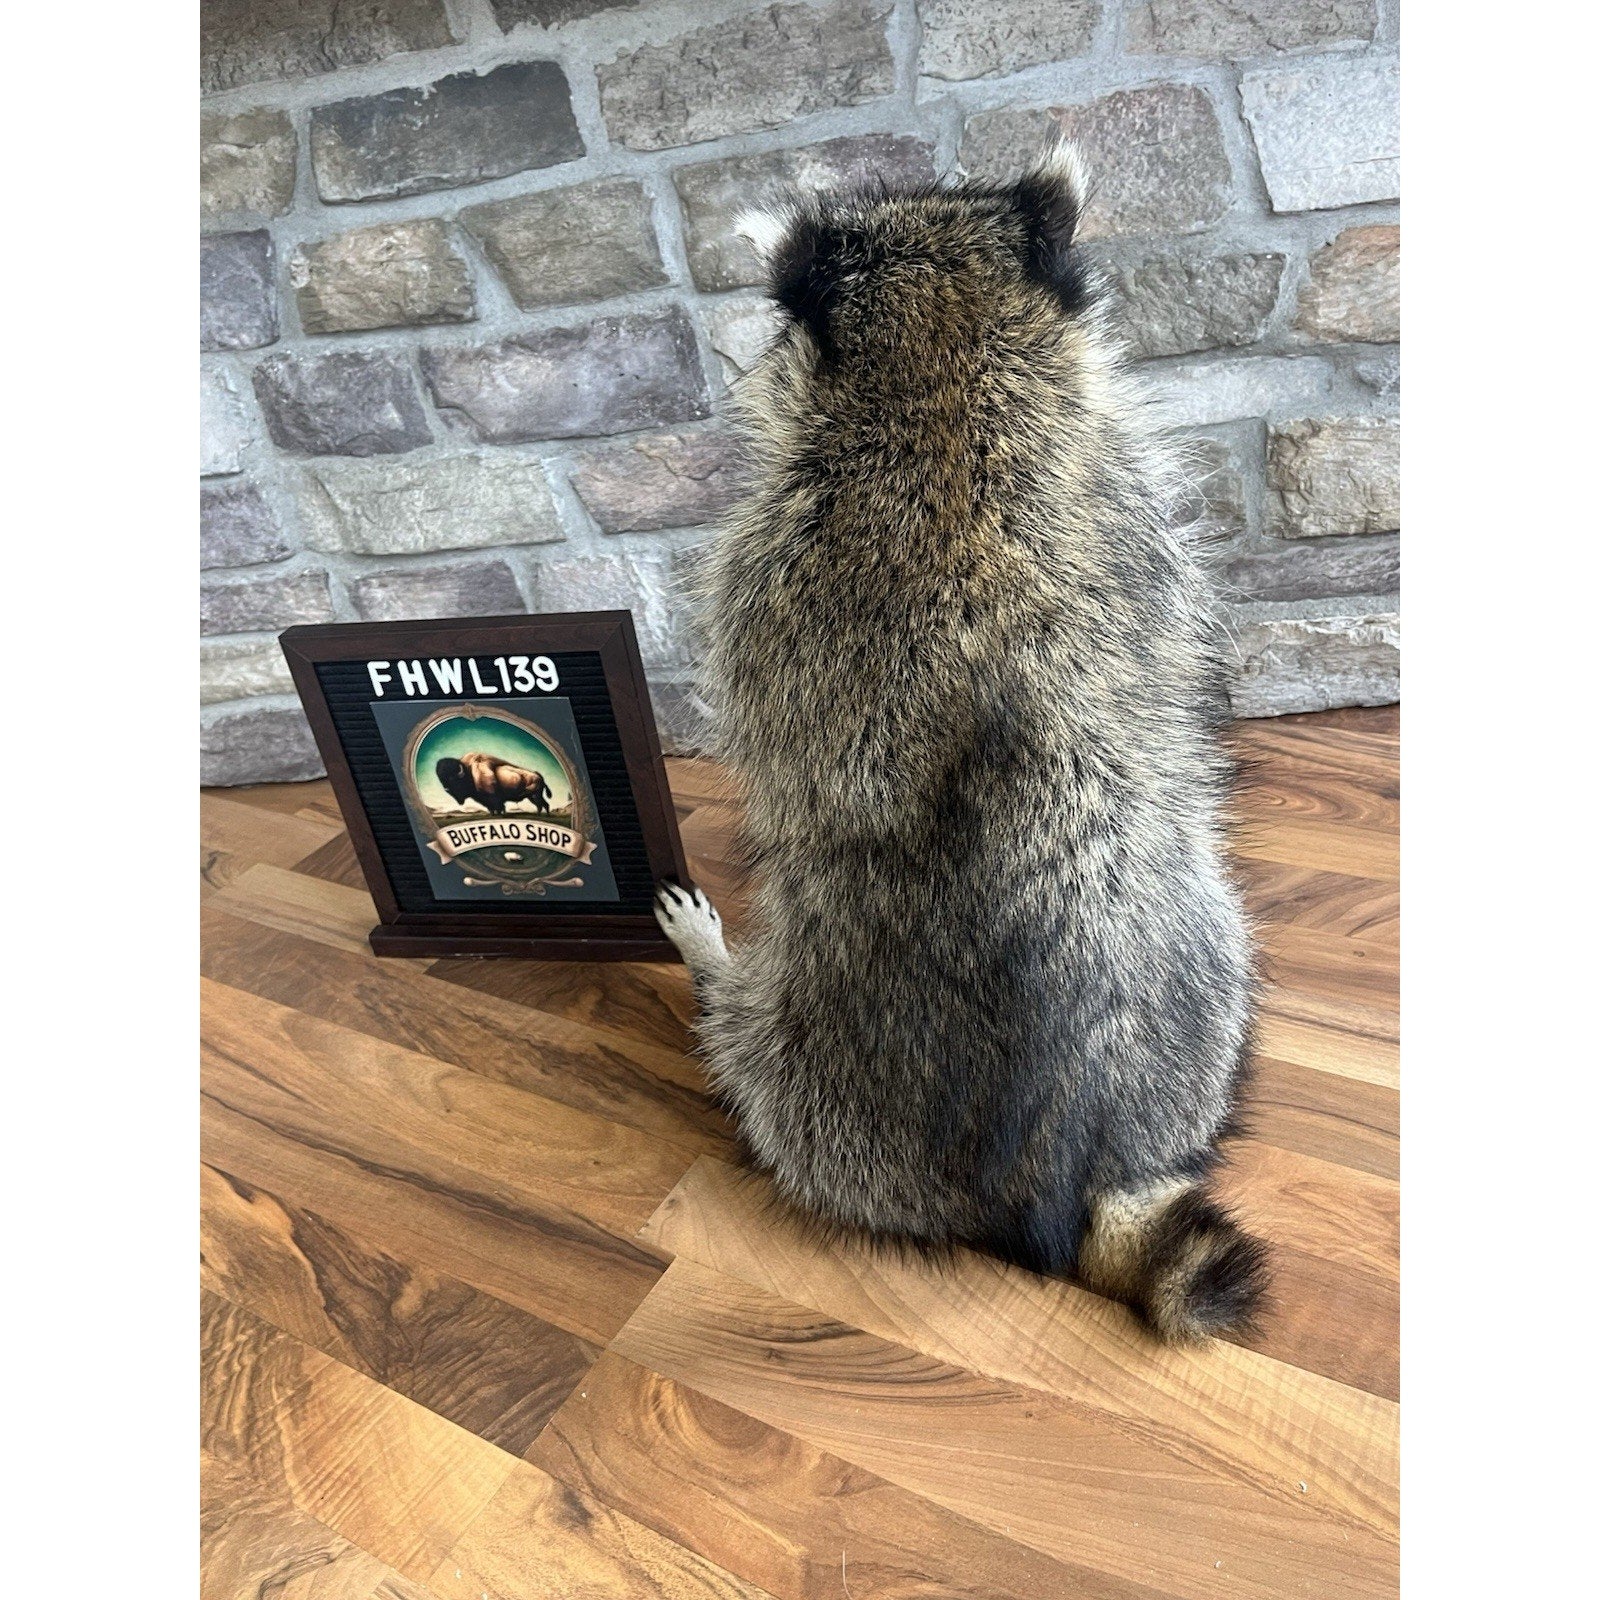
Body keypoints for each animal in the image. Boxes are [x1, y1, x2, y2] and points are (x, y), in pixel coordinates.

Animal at [654, 146, 1268, 1342]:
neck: (944, 367)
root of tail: (1074, 1172)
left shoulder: (766, 574)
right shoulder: (1133, 520)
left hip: (828, 1082)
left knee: (759, 1062)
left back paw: (714, 972)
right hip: (1211, 970)